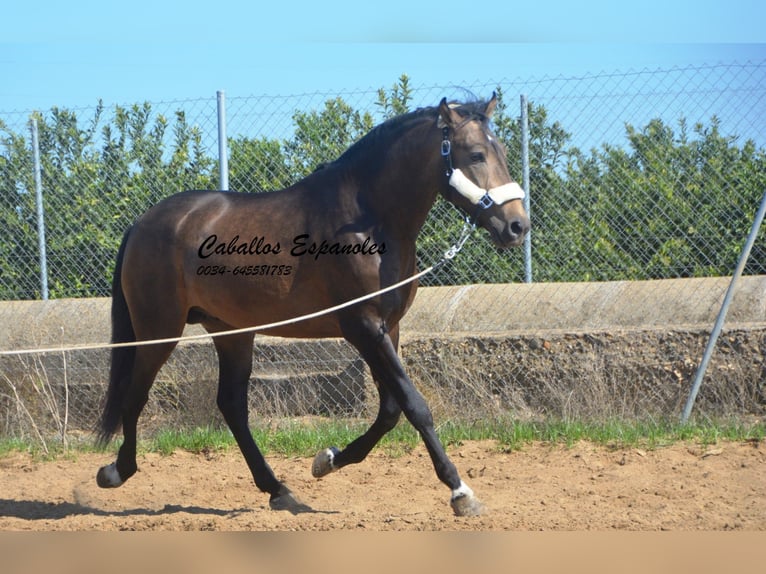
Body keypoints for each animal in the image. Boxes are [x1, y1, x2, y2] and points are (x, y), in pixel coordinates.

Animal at [96, 94, 532, 516]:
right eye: (475, 154)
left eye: (503, 151)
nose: (517, 226)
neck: (368, 222)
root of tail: (142, 223)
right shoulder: (363, 328)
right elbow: (414, 406)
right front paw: (460, 491)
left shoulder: (387, 328)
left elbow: (390, 410)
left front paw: (328, 460)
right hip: (159, 330)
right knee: (136, 394)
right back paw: (116, 471)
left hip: (231, 331)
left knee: (232, 406)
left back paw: (278, 490)